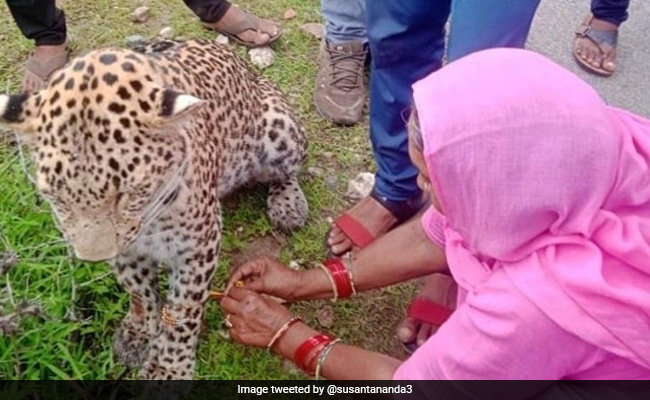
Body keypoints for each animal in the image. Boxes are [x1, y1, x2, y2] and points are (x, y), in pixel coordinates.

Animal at [0, 39, 308, 380]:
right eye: (57, 197)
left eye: (127, 194)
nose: (93, 258)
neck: (150, 218)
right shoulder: (127, 248)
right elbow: (138, 290)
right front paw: (138, 334)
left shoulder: (198, 246)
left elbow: (183, 310)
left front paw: (169, 367)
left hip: (280, 130)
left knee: (287, 171)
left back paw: (288, 204)